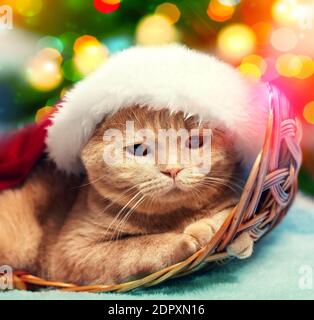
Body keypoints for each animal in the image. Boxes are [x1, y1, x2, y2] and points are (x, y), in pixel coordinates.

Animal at [0, 105, 253, 284]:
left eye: (194, 141)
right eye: (139, 149)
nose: (173, 169)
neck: (173, 217)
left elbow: (228, 216)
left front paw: (213, 231)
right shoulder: (72, 250)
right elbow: (135, 247)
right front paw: (185, 239)